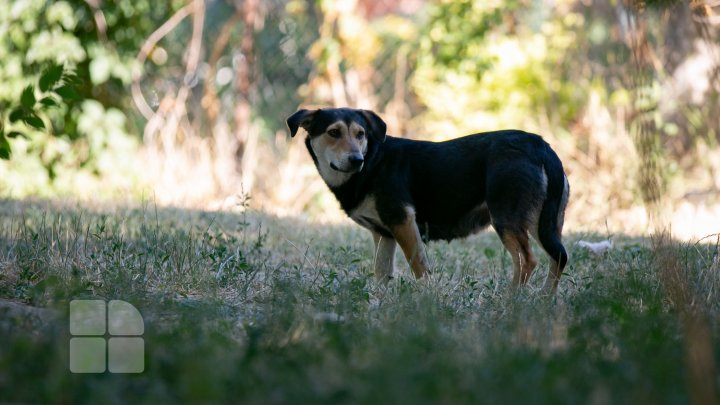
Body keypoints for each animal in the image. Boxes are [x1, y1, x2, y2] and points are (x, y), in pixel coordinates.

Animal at [286, 107, 568, 290]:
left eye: (360, 134)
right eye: (333, 132)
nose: (357, 159)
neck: (373, 162)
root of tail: (541, 146)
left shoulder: (403, 222)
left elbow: (420, 270)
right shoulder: (384, 234)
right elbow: (381, 275)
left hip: (507, 217)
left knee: (527, 261)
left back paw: (511, 303)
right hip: (543, 222)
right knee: (559, 257)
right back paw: (543, 302)